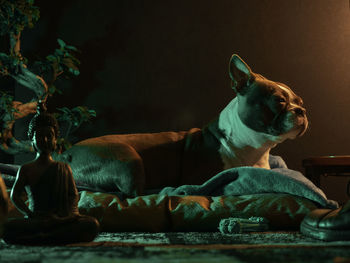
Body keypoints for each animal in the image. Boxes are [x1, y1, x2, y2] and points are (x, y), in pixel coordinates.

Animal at [56, 54, 308, 197]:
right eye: (279, 101)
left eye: (300, 102)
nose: (302, 111)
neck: (252, 147)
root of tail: (66, 154)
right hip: (128, 157)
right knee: (132, 193)